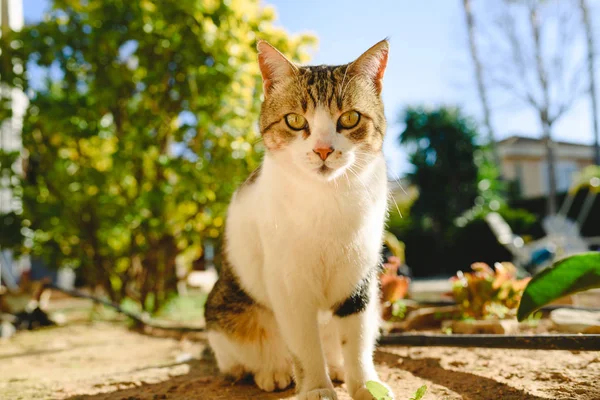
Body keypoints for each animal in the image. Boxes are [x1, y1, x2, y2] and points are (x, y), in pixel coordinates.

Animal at [205, 38, 394, 400]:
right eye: (294, 120)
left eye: (350, 118)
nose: (323, 150)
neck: (327, 199)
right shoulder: (289, 283)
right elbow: (305, 347)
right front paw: (317, 388)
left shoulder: (358, 278)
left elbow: (357, 341)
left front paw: (366, 386)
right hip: (227, 316)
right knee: (244, 357)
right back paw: (273, 371)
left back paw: (336, 367)